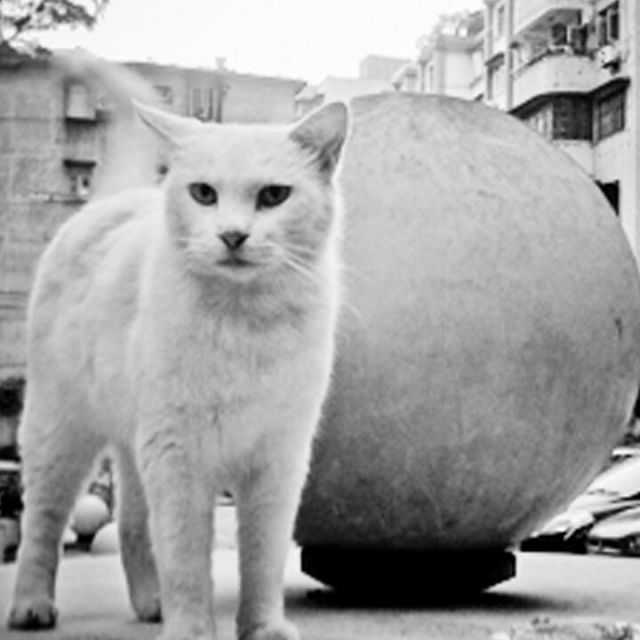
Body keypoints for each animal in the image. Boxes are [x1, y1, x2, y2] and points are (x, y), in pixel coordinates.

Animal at [7, 52, 348, 640]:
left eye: (274, 196)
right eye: (203, 194)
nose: (232, 236)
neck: (243, 323)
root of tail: (114, 198)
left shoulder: (277, 461)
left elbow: (263, 557)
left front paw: (262, 627)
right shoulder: (178, 456)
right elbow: (187, 559)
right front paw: (191, 628)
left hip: (133, 445)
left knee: (130, 528)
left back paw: (152, 604)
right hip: (59, 432)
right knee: (42, 523)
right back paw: (32, 605)